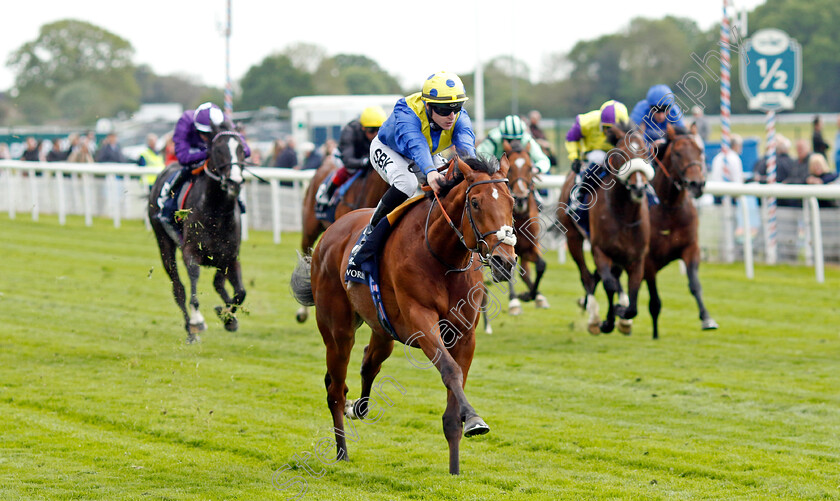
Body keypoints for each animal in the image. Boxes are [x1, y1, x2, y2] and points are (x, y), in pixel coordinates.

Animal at [148, 125, 248, 344]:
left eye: (241, 150)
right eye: (218, 149)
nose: (235, 182)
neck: (216, 211)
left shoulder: (230, 256)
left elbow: (239, 292)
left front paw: (228, 317)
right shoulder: (191, 252)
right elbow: (193, 288)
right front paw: (197, 320)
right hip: (164, 243)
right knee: (179, 289)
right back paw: (191, 330)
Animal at [556, 122, 656, 334]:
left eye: (645, 152)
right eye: (623, 153)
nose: (639, 187)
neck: (624, 215)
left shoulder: (637, 257)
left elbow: (633, 299)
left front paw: (623, 315)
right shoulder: (600, 250)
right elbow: (609, 285)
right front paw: (607, 321)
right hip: (573, 238)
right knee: (586, 276)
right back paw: (593, 315)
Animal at [648, 124, 720, 340]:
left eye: (700, 151)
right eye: (678, 153)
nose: (697, 184)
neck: (669, 206)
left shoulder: (690, 247)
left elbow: (695, 285)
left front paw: (707, 319)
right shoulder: (647, 259)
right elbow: (654, 300)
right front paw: (655, 334)